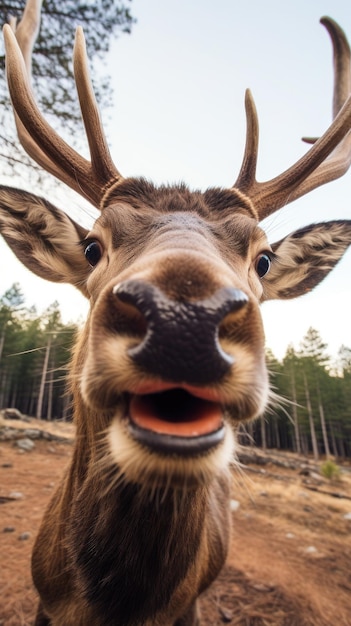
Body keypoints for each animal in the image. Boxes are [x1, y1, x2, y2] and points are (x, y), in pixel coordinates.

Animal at [0, 0, 351, 620]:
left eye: (263, 259)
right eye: (92, 246)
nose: (184, 320)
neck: (117, 604)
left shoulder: (188, 606)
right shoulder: (43, 598)